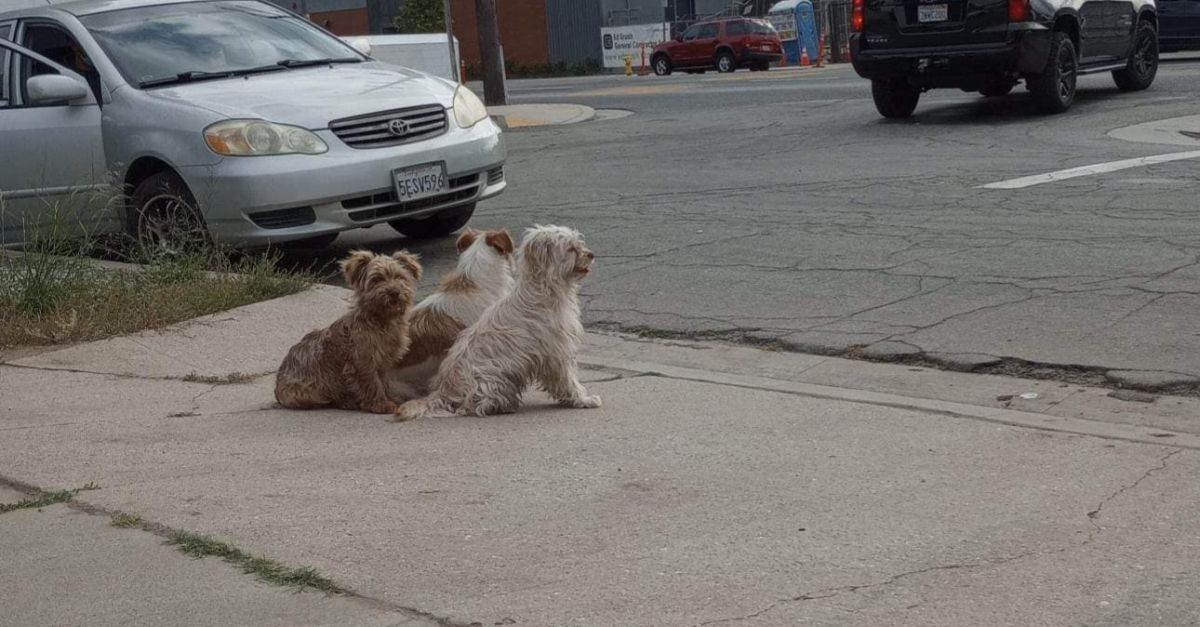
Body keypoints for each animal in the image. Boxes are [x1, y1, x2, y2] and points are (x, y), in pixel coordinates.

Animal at [274, 246, 422, 413]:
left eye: (399, 277)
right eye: (377, 279)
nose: (394, 292)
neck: (380, 320)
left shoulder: (382, 362)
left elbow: (383, 382)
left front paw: (389, 398)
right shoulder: (363, 362)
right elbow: (372, 384)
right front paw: (381, 404)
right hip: (307, 392)